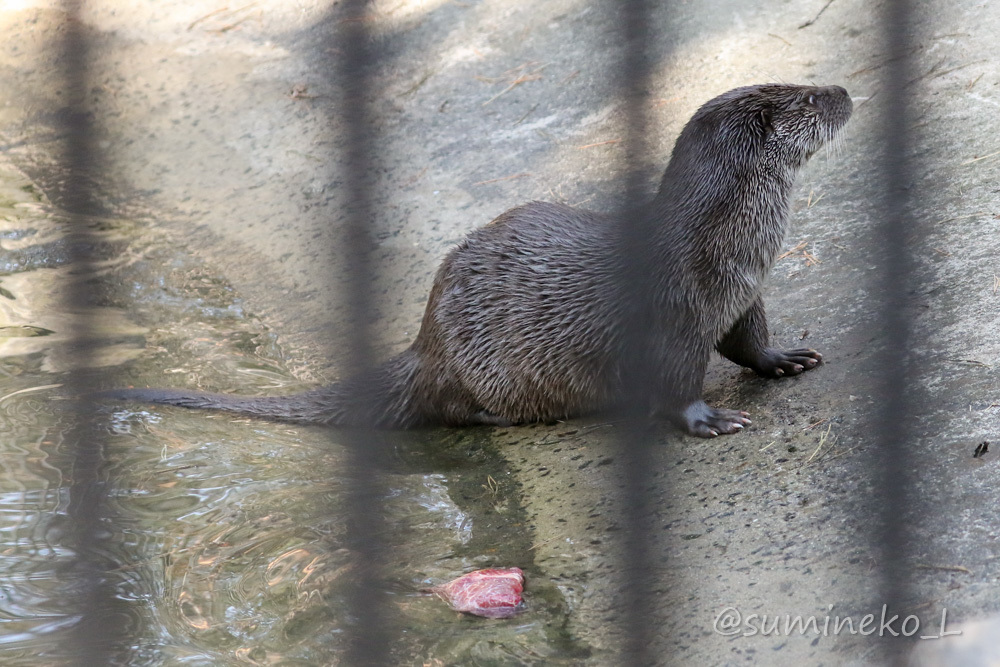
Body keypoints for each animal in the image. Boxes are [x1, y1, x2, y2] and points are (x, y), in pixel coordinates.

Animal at [107, 83, 852, 438]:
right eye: (810, 98)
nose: (844, 90)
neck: (726, 243)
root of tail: (424, 343)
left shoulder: (742, 294)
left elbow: (748, 342)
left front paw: (784, 359)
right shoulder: (672, 315)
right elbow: (675, 388)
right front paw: (710, 420)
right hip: (478, 369)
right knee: (452, 408)